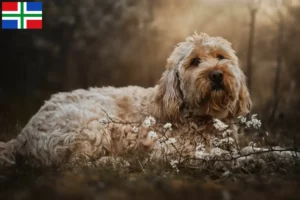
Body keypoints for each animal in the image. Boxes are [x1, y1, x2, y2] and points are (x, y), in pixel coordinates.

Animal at [0, 32, 252, 167]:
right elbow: (214, 154)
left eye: (221, 57)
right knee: (73, 164)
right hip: (91, 122)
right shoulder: (168, 151)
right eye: (195, 61)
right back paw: (114, 162)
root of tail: (22, 136)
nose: (217, 74)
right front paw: (240, 159)